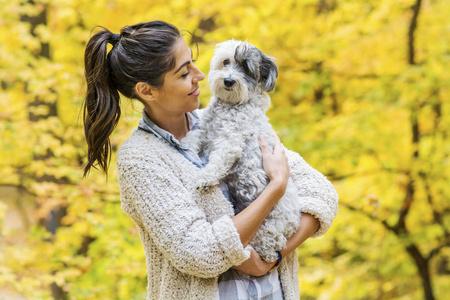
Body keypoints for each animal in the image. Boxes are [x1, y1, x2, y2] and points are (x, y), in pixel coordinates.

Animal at [181, 39, 300, 262]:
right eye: (226, 62)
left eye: (246, 67)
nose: (228, 81)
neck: (230, 106)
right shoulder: (204, 130)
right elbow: (190, 139)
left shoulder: (230, 140)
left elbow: (218, 161)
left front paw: (205, 179)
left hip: (269, 225)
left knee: (269, 245)